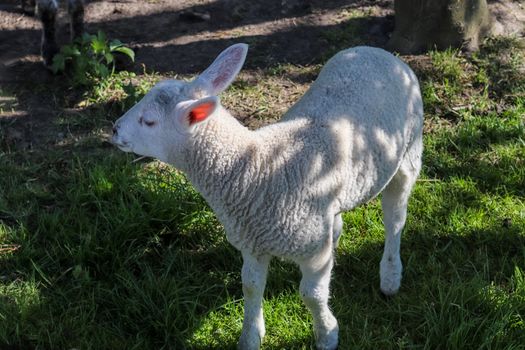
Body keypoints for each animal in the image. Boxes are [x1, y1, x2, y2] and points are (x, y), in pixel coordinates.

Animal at [109, 43, 422, 350]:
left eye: (149, 121)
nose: (114, 129)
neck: (256, 169)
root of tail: (376, 51)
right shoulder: (251, 241)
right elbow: (250, 287)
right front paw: (250, 337)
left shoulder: (311, 251)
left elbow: (312, 295)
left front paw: (327, 334)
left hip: (409, 152)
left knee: (395, 218)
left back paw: (390, 276)